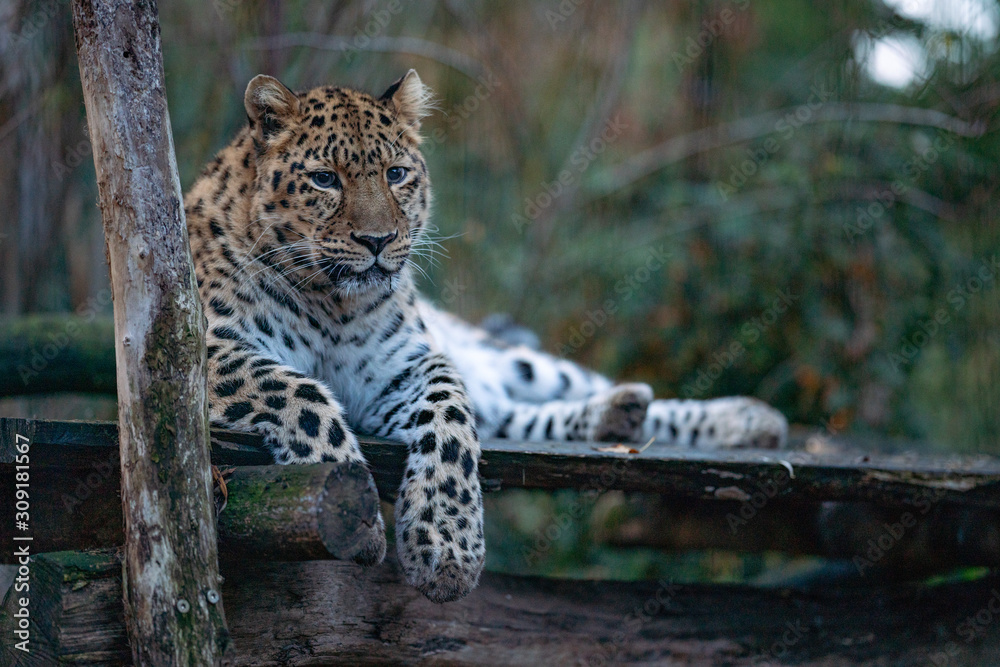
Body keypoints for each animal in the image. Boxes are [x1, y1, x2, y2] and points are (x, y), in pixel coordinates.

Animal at [184, 70, 788, 603]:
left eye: (397, 174)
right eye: (325, 179)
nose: (378, 240)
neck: (332, 303)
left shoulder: (407, 366)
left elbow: (451, 419)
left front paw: (447, 545)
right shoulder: (208, 349)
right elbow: (301, 394)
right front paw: (350, 493)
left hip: (512, 360)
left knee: (555, 388)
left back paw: (741, 419)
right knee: (516, 415)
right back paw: (621, 415)